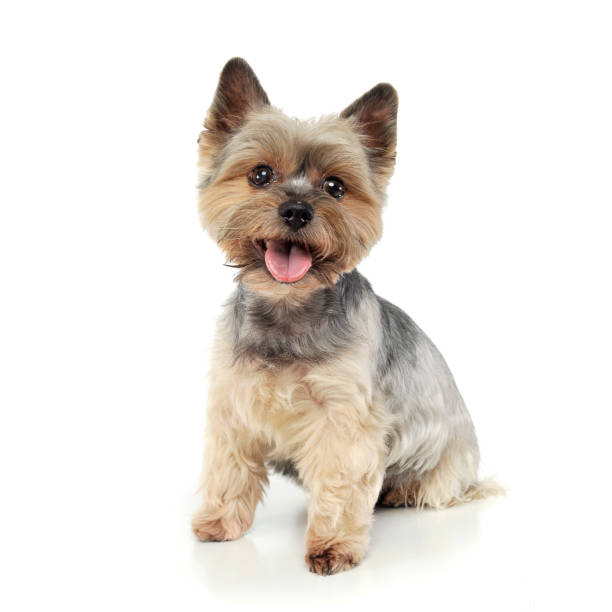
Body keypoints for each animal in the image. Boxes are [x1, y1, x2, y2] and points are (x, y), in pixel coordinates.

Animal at [192, 57, 502, 572]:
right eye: (260, 174)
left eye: (335, 187)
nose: (297, 211)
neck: (289, 309)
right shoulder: (234, 402)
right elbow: (229, 468)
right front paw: (219, 522)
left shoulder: (343, 419)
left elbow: (340, 480)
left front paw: (332, 545)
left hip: (442, 468)